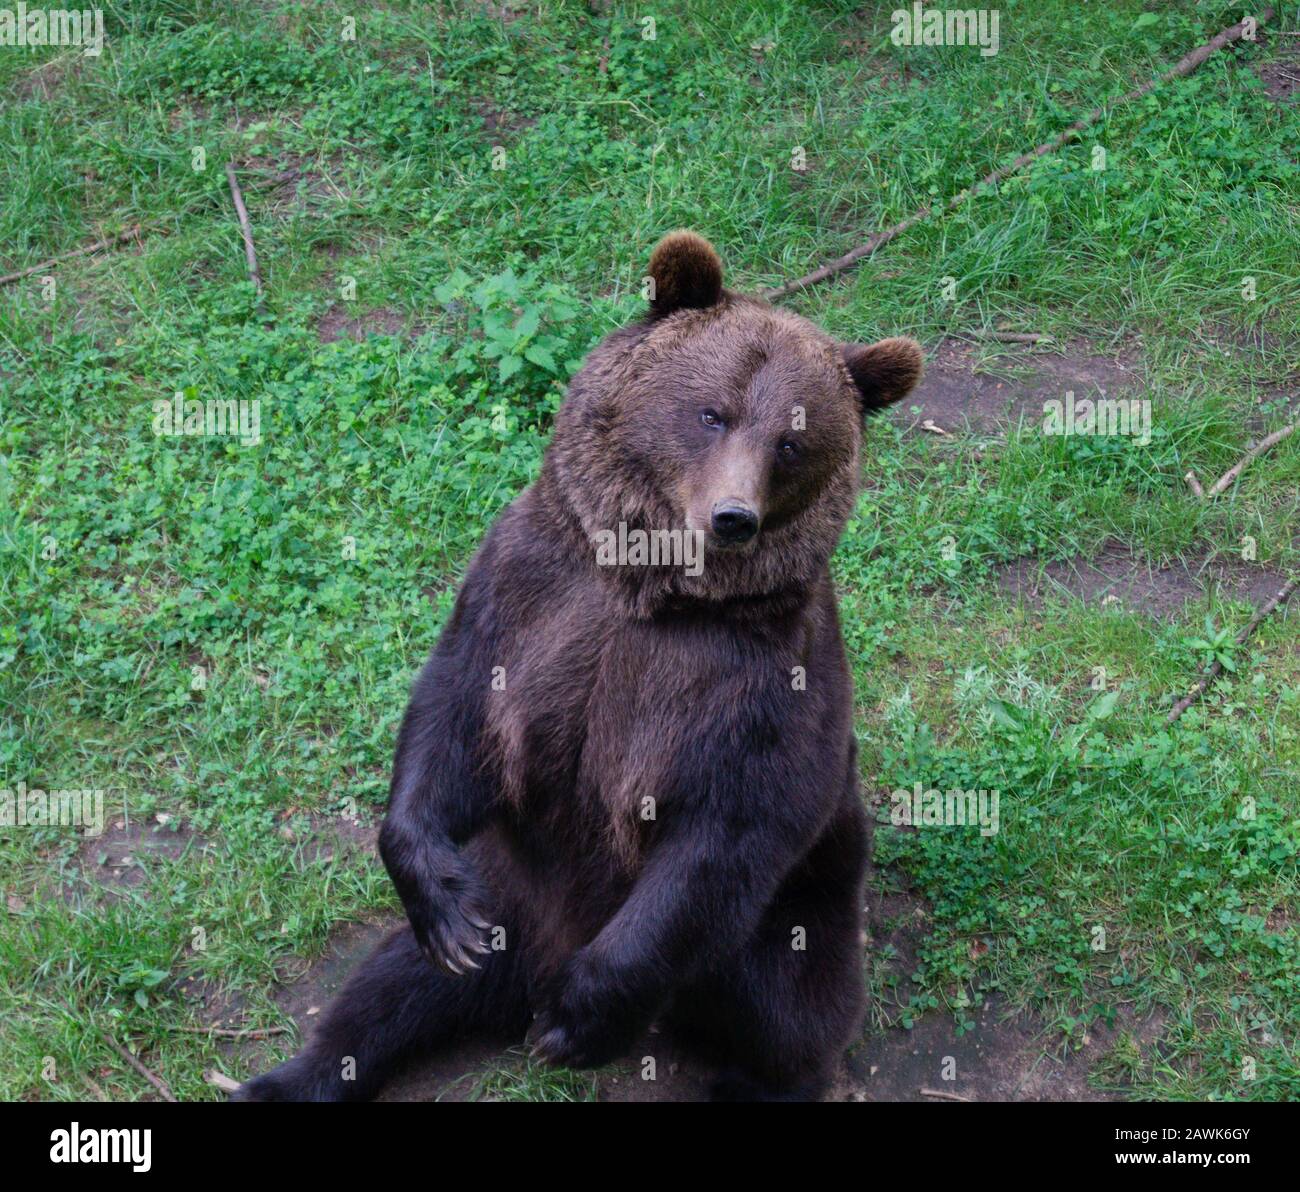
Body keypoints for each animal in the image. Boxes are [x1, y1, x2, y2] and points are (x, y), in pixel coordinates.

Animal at [236, 230, 925, 1097]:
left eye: (792, 443)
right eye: (712, 413)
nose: (732, 517)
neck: (651, 588)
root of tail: (528, 970)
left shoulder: (765, 672)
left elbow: (734, 823)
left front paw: (582, 1014)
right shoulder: (529, 586)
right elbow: (454, 708)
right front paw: (437, 896)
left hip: (796, 909)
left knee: (791, 1004)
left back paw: (755, 1076)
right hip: (512, 893)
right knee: (393, 984)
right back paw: (297, 1072)